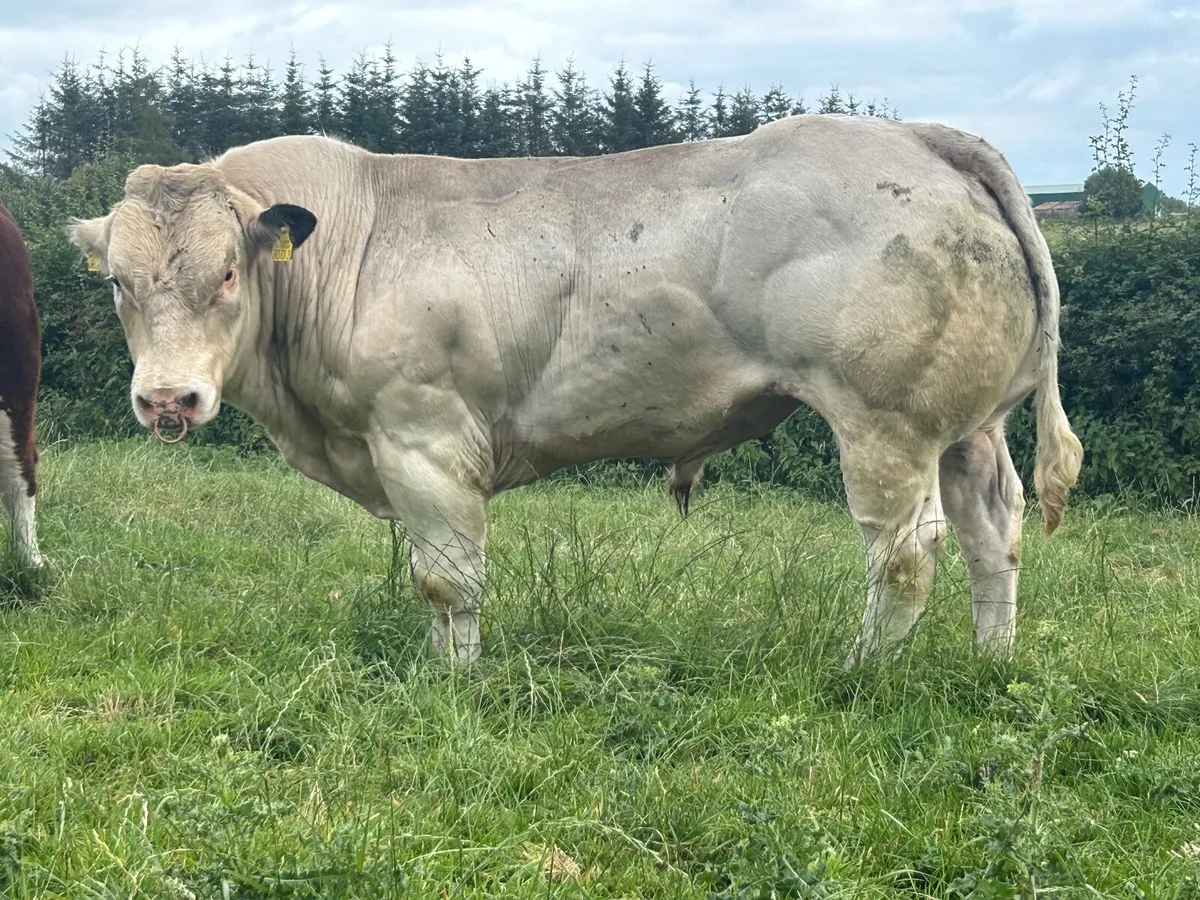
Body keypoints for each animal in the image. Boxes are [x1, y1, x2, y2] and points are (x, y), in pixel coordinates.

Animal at [67, 114, 1083, 666]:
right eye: (117, 280)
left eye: (228, 272)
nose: (167, 401)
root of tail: (916, 135)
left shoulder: (423, 435)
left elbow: (445, 579)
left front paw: (455, 683)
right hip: (964, 428)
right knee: (994, 532)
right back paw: (990, 661)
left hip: (885, 422)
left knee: (906, 553)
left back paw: (859, 671)